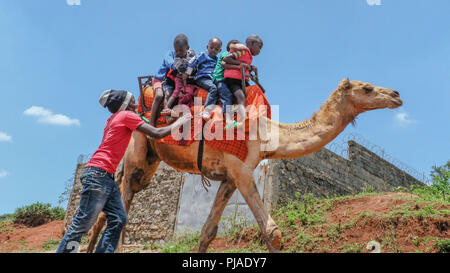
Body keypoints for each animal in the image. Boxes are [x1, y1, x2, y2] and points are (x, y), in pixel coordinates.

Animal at [86, 77, 402, 252]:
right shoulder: (242, 170)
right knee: (121, 208)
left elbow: (208, 232)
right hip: (137, 151)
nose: (396, 95)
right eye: (368, 88)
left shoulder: (228, 177)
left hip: (150, 161)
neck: (268, 134)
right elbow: (273, 233)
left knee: (107, 209)